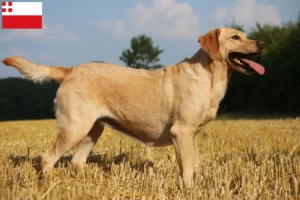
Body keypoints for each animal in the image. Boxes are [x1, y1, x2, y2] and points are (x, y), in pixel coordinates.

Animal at [2, 27, 264, 188]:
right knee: (47, 159)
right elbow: (188, 168)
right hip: (74, 128)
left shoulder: (193, 136)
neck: (209, 78)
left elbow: (194, 165)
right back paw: (49, 184)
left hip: (92, 130)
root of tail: (69, 70)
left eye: (245, 35)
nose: (261, 43)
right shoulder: (181, 132)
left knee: (76, 162)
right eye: (235, 37)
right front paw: (188, 189)